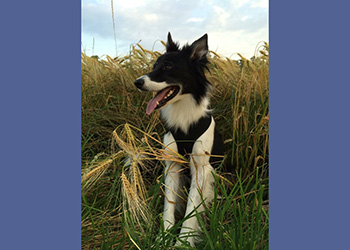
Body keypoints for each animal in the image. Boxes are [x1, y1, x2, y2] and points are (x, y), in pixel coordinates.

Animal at [133, 32, 227, 245]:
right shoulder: (172, 165)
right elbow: (168, 206)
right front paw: (163, 238)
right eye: (154, 65)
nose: (137, 82)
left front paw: (183, 241)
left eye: (168, 66)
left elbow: (192, 209)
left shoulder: (201, 169)